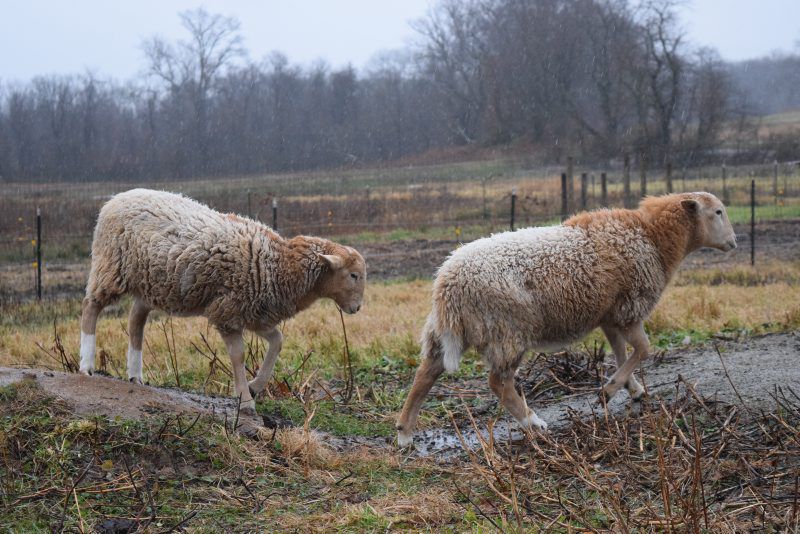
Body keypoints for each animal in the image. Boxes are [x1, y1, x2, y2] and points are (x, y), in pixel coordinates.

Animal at [79, 188, 366, 414]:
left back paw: (135, 375)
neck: (279, 264)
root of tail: (116, 199)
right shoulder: (228, 311)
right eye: (353, 275)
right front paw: (245, 400)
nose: (357, 308)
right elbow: (238, 356)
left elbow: (278, 342)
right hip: (111, 266)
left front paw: (255, 386)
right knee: (91, 307)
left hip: (150, 284)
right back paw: (86, 364)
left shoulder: (256, 313)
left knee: (135, 320)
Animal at [396, 192, 737, 447]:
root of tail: (448, 283)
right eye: (718, 212)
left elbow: (620, 352)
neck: (652, 238)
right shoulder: (630, 308)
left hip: (451, 330)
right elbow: (643, 349)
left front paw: (630, 388)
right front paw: (610, 390)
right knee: (498, 382)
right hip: (507, 329)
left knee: (426, 372)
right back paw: (533, 422)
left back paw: (404, 432)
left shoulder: (610, 314)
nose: (734, 242)